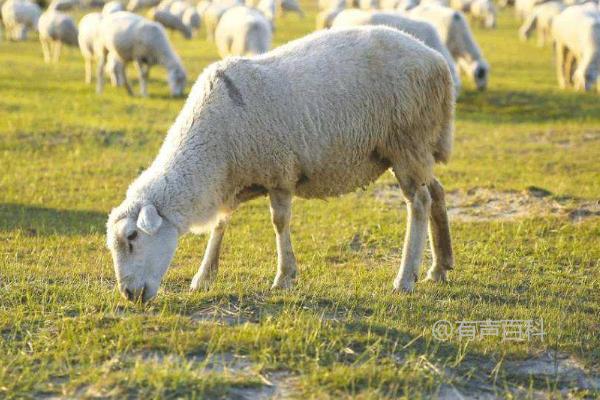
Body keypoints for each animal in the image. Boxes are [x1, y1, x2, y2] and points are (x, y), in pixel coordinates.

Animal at [108, 25, 454, 304]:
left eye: (132, 237)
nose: (128, 294)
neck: (212, 151)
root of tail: (436, 59)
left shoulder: (279, 172)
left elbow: (279, 222)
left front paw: (284, 276)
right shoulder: (233, 180)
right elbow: (221, 224)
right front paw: (204, 276)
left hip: (407, 140)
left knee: (419, 202)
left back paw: (405, 278)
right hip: (415, 148)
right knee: (437, 191)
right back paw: (440, 266)